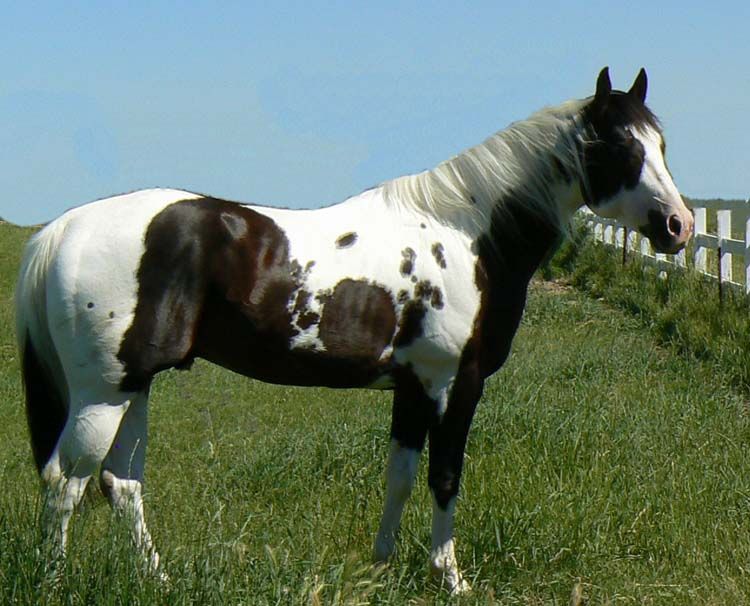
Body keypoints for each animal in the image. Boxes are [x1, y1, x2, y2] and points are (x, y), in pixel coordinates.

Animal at [15, 67, 692, 592]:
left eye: (662, 145)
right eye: (620, 146)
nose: (679, 226)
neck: (467, 236)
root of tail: (62, 229)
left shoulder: (414, 387)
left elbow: (399, 477)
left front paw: (381, 567)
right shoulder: (456, 384)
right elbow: (445, 477)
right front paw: (450, 579)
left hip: (134, 388)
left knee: (120, 483)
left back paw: (158, 578)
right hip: (103, 393)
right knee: (65, 482)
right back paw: (54, 581)